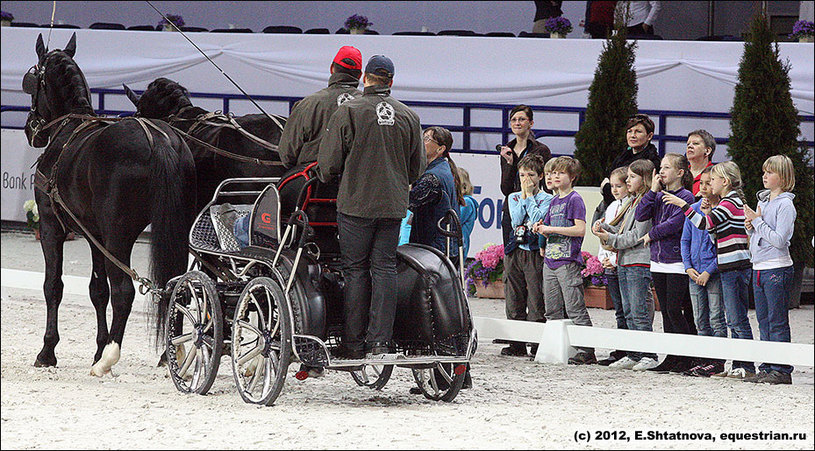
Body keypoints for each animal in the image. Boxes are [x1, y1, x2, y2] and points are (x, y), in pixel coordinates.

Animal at [24, 33, 198, 376]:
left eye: (33, 80)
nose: (30, 129)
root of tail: (160, 140)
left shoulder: (52, 226)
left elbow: (54, 285)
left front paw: (48, 351)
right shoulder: (95, 236)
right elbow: (97, 290)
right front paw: (97, 348)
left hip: (120, 235)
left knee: (124, 291)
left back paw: (109, 358)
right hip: (170, 230)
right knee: (176, 288)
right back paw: (173, 351)